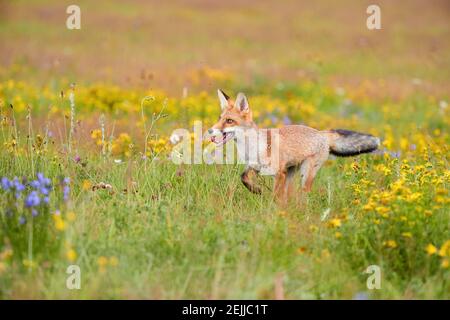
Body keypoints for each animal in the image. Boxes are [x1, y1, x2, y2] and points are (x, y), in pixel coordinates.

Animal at [207, 90, 380, 204]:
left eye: (229, 121)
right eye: (219, 118)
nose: (209, 130)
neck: (253, 147)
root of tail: (322, 133)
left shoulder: (279, 174)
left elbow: (275, 196)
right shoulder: (255, 167)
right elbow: (243, 177)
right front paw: (256, 190)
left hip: (304, 175)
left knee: (302, 196)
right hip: (291, 174)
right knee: (290, 195)